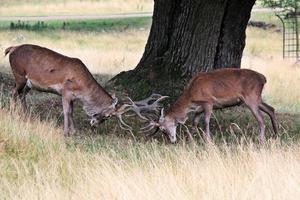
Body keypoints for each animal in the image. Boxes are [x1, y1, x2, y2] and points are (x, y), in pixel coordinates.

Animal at [4, 44, 168, 136]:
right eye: (108, 116)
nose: (94, 124)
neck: (82, 88)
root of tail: (11, 48)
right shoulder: (65, 91)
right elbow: (66, 111)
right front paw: (66, 133)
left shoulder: (73, 97)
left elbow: (72, 111)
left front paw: (74, 131)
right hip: (19, 75)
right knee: (12, 93)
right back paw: (12, 115)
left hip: (28, 83)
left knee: (21, 95)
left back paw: (26, 116)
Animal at [141, 68, 278, 143]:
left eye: (163, 129)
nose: (172, 141)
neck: (191, 97)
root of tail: (263, 78)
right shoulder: (198, 109)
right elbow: (194, 122)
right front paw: (191, 139)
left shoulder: (208, 102)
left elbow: (206, 121)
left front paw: (208, 140)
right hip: (257, 99)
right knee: (271, 109)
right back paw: (276, 134)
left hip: (251, 98)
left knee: (261, 119)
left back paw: (262, 140)